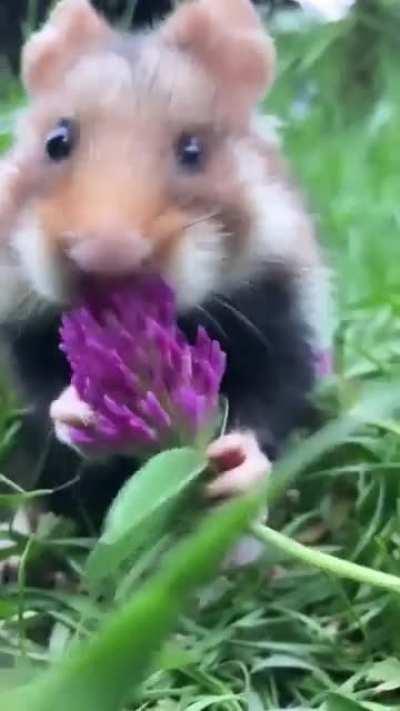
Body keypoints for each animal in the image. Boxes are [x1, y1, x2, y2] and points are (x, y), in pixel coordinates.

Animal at [0, 0, 332, 529]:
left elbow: (270, 404)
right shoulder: (21, 332)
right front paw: (81, 410)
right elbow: (44, 396)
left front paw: (235, 470)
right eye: (56, 141)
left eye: (193, 150)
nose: (106, 256)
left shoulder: (285, 318)